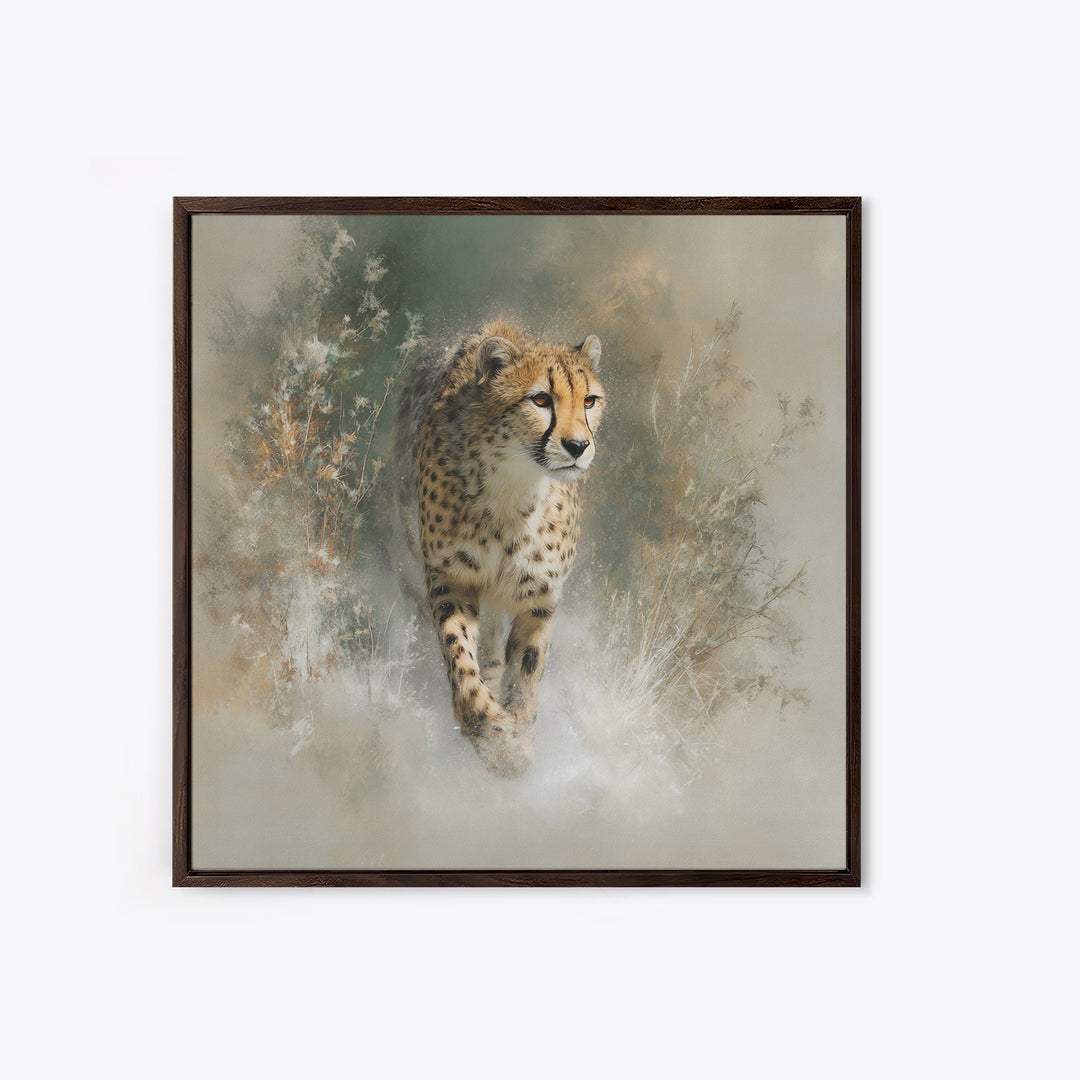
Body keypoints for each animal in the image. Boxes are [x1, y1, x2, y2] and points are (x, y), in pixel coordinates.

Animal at [392, 320, 606, 776]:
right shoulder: (450, 577)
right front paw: (487, 727)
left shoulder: (541, 596)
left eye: (589, 401)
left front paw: (518, 744)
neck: (515, 485)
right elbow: (459, 654)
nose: (579, 446)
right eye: (540, 399)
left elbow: (526, 673)